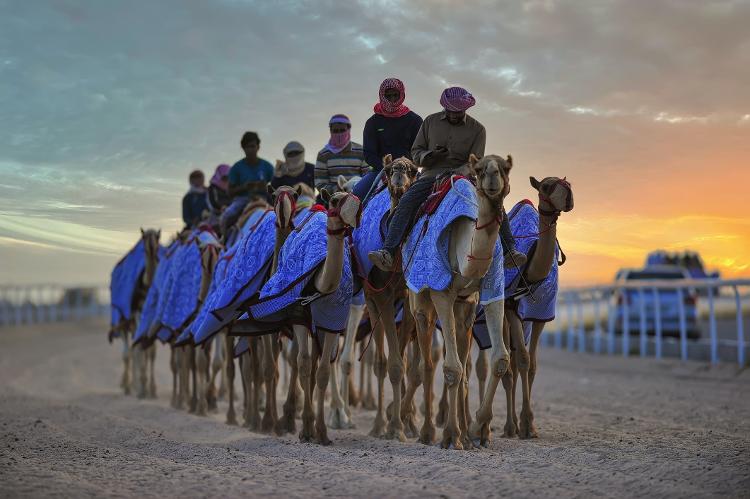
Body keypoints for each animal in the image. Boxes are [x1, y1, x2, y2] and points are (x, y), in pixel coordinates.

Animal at [408, 155, 516, 450]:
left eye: (505, 168)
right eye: (479, 170)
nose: (492, 177)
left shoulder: (488, 291)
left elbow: (500, 358)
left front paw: (476, 429)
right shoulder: (442, 294)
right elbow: (451, 368)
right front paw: (450, 436)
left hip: (462, 309)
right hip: (420, 300)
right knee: (426, 363)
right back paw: (425, 431)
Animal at [472, 178, 572, 444]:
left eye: (567, 183)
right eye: (546, 186)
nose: (569, 197)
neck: (532, 273)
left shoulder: (540, 315)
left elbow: (531, 364)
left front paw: (527, 425)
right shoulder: (511, 309)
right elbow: (523, 361)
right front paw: (523, 425)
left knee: (513, 364)